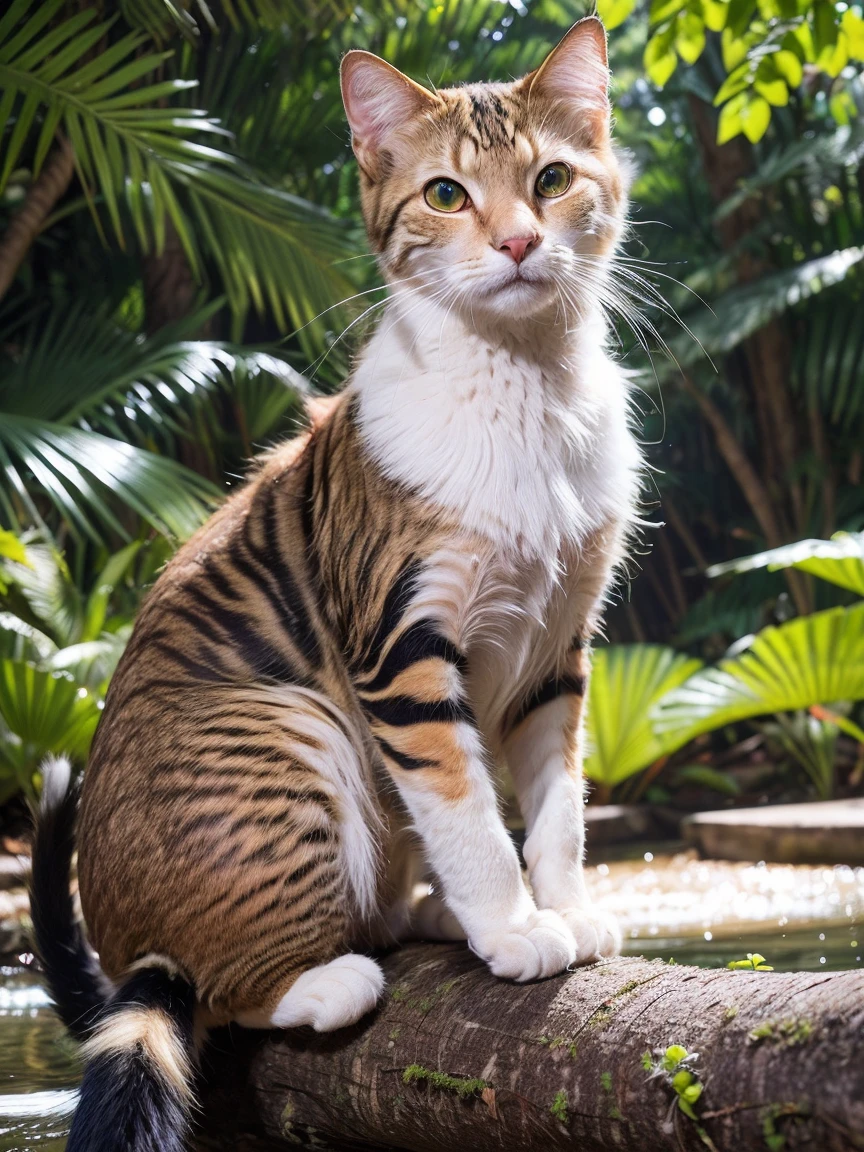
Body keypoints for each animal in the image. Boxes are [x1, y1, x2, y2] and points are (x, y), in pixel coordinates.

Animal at [30, 18, 645, 1152]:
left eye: (551, 179)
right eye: (446, 194)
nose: (519, 244)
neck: (527, 391)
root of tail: (127, 942)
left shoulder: (559, 645)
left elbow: (557, 803)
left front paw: (565, 907)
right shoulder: (404, 645)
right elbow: (466, 807)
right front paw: (513, 927)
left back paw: (427, 916)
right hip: (288, 721)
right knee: (219, 993)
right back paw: (328, 979)